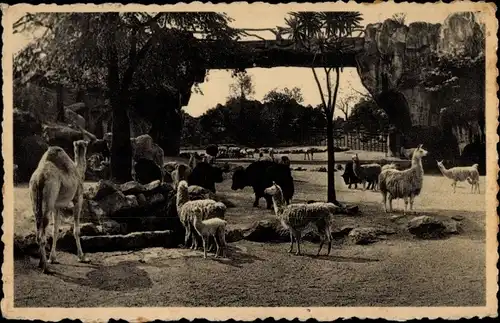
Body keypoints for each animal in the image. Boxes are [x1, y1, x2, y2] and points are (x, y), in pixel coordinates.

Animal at [29, 140, 90, 274]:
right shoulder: (78, 198)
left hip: (36, 201)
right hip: (49, 199)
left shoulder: (57, 206)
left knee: (38, 229)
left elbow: (55, 230)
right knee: (41, 234)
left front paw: (53, 258)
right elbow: (76, 230)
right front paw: (82, 257)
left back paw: (41, 263)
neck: (79, 172)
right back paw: (46, 268)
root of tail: (39, 179)